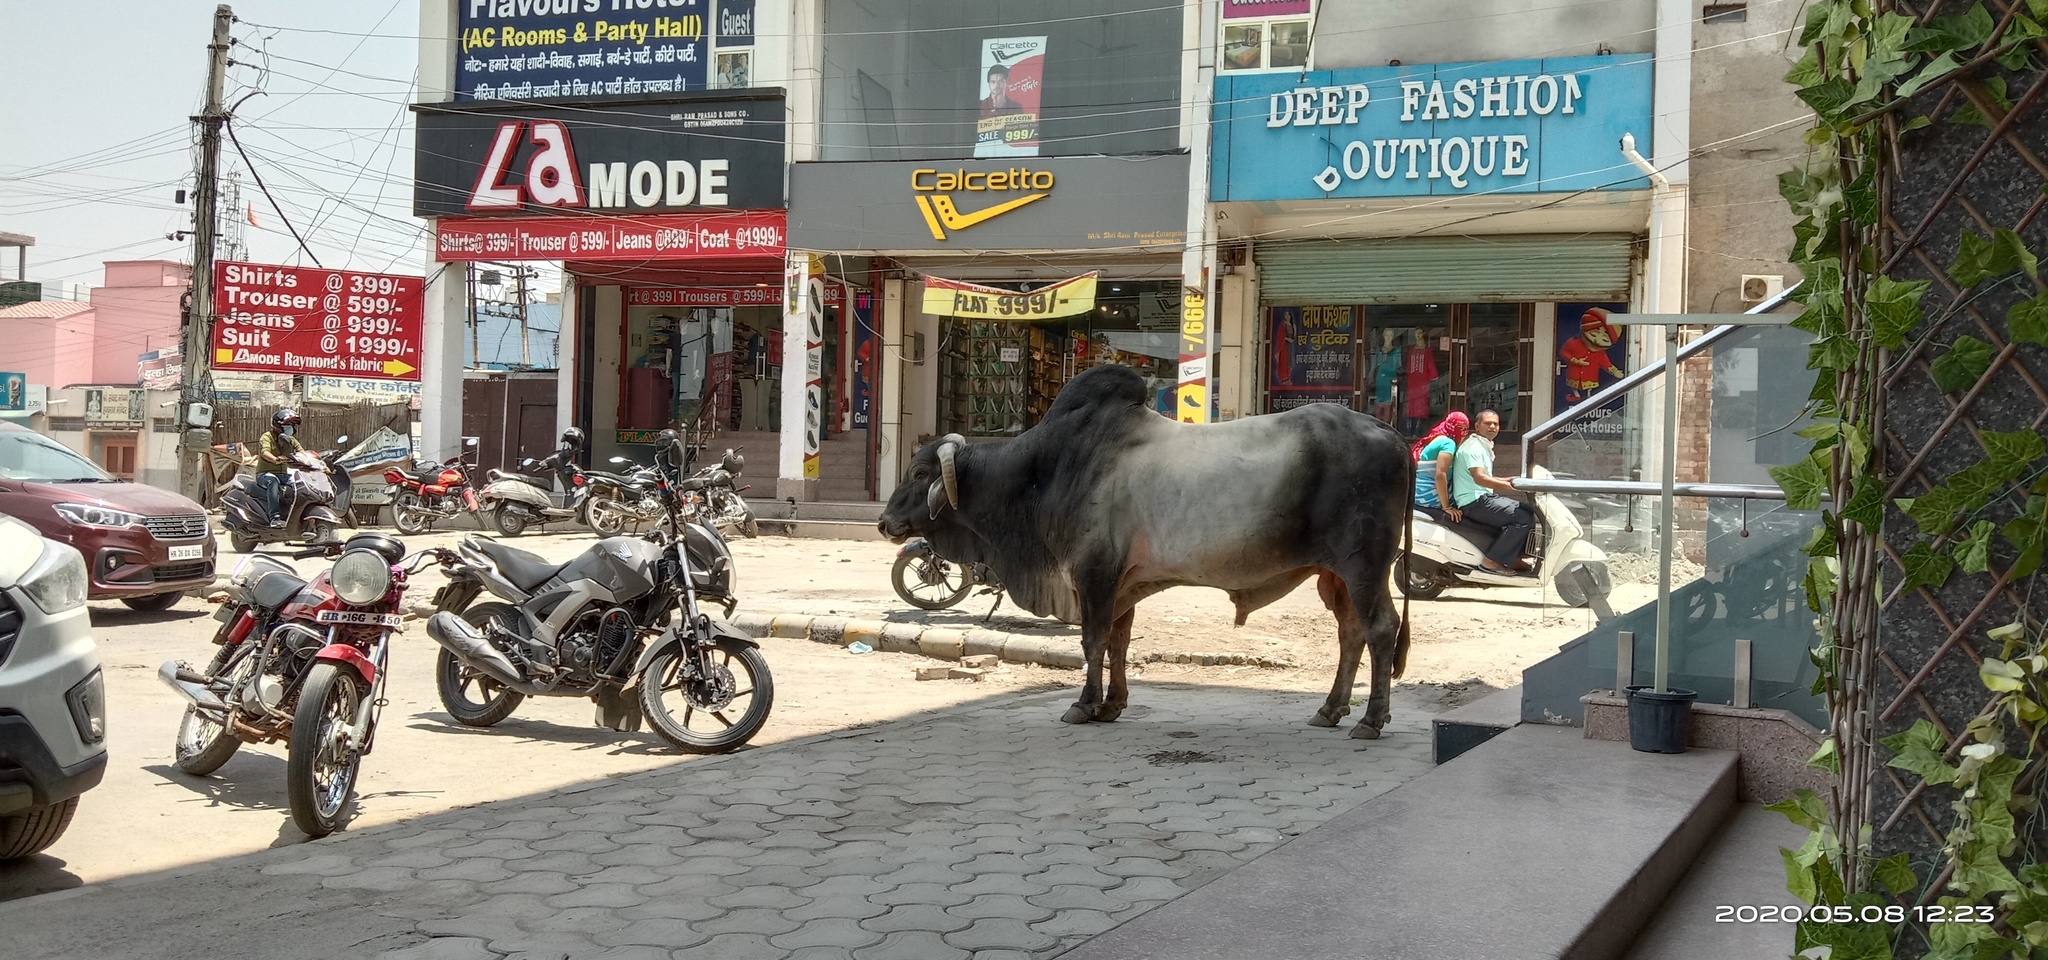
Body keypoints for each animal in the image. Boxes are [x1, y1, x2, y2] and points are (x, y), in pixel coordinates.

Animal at [872, 362, 1417, 736]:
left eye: (919, 472)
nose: (884, 522)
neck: (1043, 471)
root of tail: (1389, 431)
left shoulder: (1093, 573)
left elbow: (1093, 641)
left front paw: (1083, 704)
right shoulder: (1123, 582)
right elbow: (1118, 642)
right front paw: (1112, 705)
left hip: (1365, 566)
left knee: (1379, 630)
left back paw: (1371, 720)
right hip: (1337, 575)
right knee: (1351, 634)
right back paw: (1331, 710)